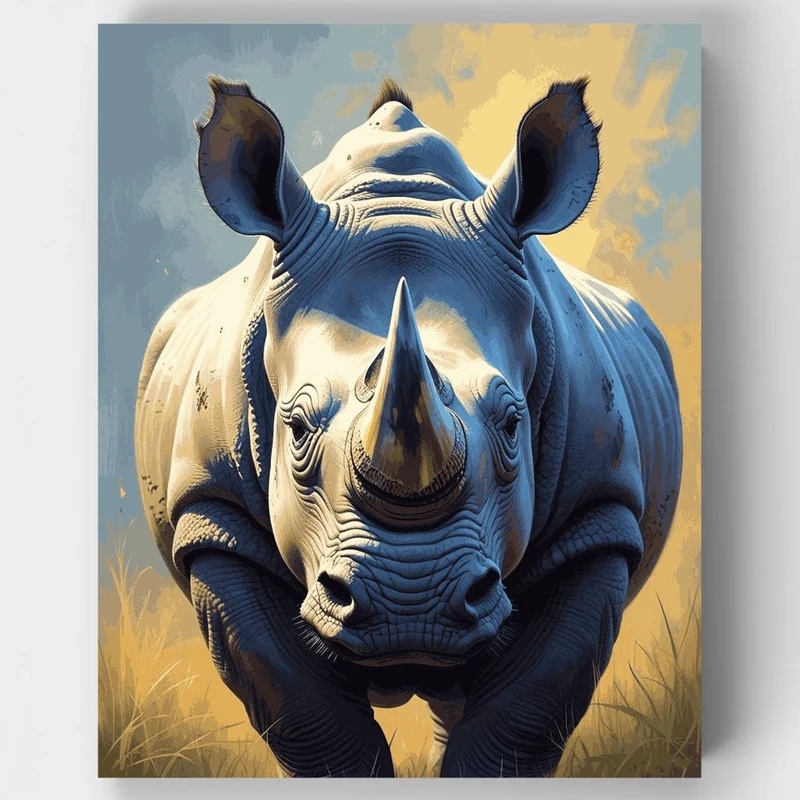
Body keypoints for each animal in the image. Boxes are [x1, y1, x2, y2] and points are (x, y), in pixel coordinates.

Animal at [134, 75, 682, 777]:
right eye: (296, 428)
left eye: (513, 424)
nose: (410, 607)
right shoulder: (212, 511)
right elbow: (306, 715)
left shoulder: (598, 512)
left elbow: (522, 717)